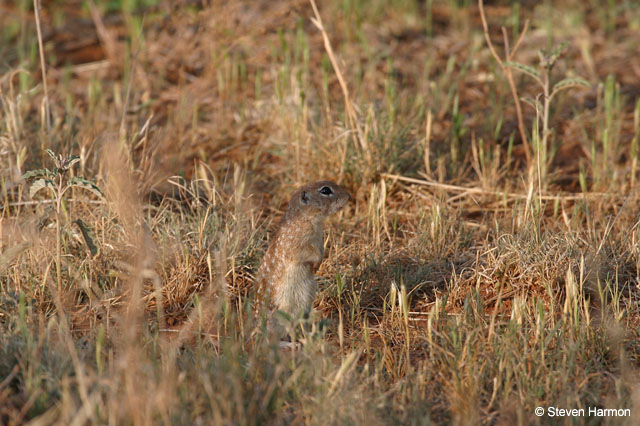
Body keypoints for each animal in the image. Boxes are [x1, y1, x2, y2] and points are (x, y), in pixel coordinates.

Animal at [258, 181, 352, 338]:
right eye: (325, 191)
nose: (349, 196)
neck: (306, 217)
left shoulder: (318, 239)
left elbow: (320, 249)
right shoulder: (299, 245)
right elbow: (310, 254)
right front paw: (316, 265)